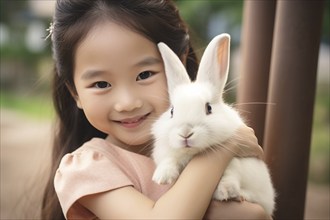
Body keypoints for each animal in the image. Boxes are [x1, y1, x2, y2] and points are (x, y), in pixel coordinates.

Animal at [152, 33, 276, 216]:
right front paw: (162, 177)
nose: (185, 133)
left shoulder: (235, 161)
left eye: (208, 108)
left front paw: (226, 191)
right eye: (172, 111)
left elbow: (231, 173)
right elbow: (169, 159)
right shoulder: (166, 153)